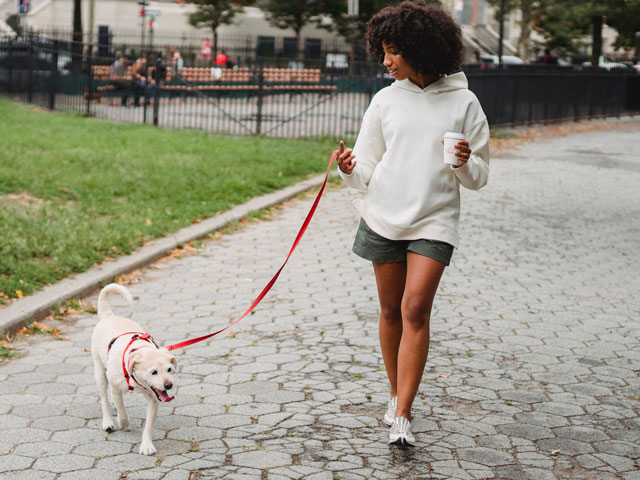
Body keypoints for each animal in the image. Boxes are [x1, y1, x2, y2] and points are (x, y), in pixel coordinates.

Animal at [91, 284, 176, 456]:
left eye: (169, 369)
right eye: (153, 372)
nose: (168, 385)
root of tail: (109, 316)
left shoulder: (153, 399)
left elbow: (148, 426)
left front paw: (147, 445)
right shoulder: (116, 388)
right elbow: (122, 410)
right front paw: (123, 422)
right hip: (100, 372)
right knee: (104, 398)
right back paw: (108, 421)